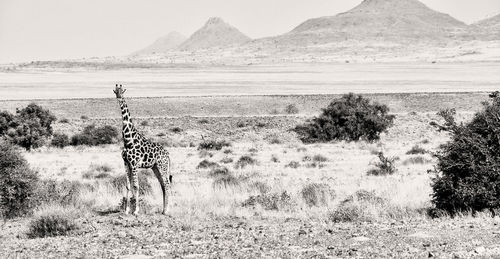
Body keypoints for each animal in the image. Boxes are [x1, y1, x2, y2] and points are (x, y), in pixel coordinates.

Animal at [114, 85, 173, 215]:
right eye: (116, 91)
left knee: (167, 185)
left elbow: (136, 186)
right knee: (162, 185)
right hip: (155, 167)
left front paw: (136, 211)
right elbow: (128, 185)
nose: (119, 97)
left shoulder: (134, 164)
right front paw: (126, 211)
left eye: (122, 91)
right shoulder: (126, 163)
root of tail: (168, 154)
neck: (128, 139)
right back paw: (163, 209)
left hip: (162, 166)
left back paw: (167, 210)